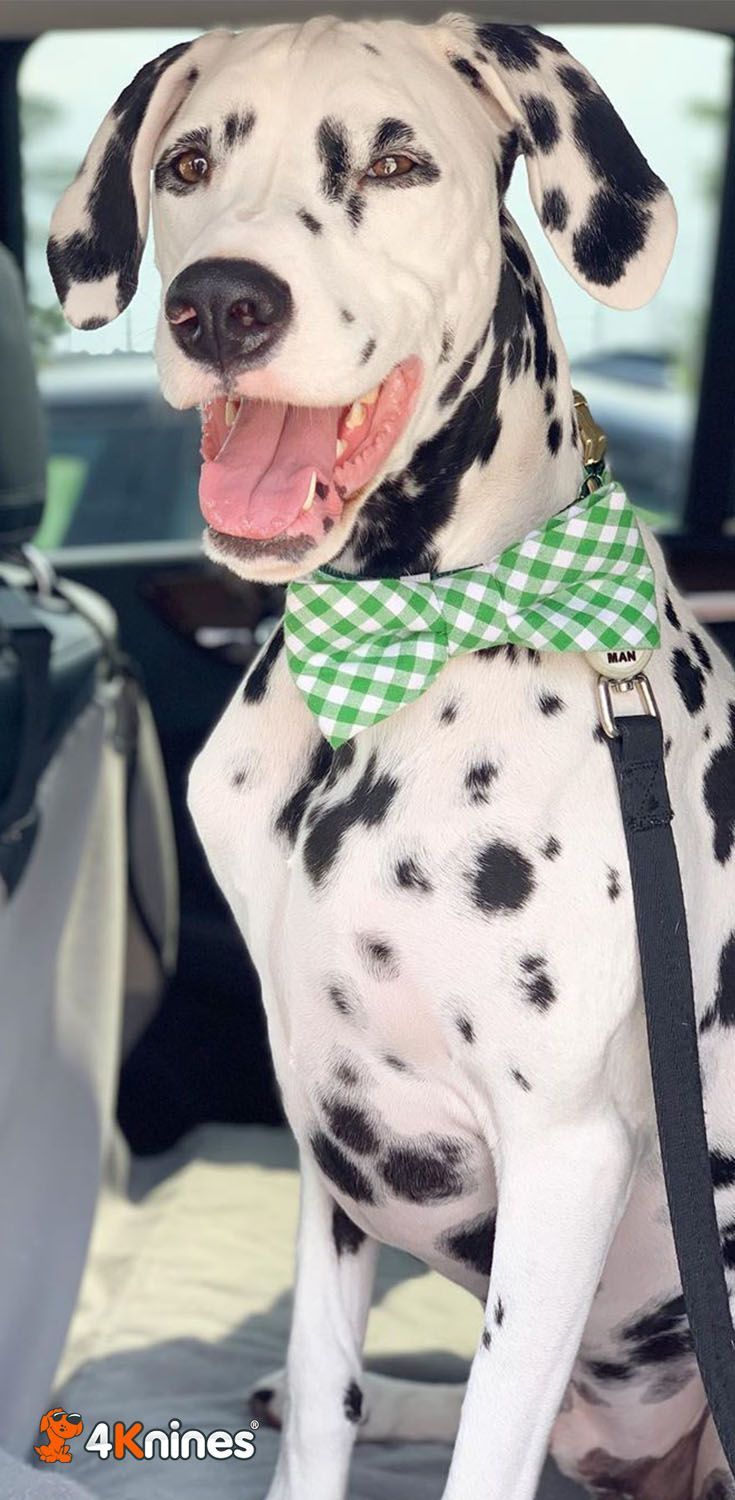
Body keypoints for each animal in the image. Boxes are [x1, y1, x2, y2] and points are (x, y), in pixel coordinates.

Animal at [48, 14, 735, 1500]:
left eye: (398, 162)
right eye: (189, 163)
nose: (220, 306)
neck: (395, 655)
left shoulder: (564, 1156)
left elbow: (487, 1450)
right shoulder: (332, 1140)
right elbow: (323, 1400)